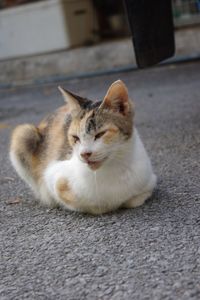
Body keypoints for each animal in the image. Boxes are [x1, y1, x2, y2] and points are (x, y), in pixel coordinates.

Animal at [9, 81, 156, 214]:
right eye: (75, 137)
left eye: (100, 134)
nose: (85, 154)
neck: (112, 170)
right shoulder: (53, 177)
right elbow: (89, 204)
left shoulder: (150, 181)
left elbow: (134, 200)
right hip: (24, 133)